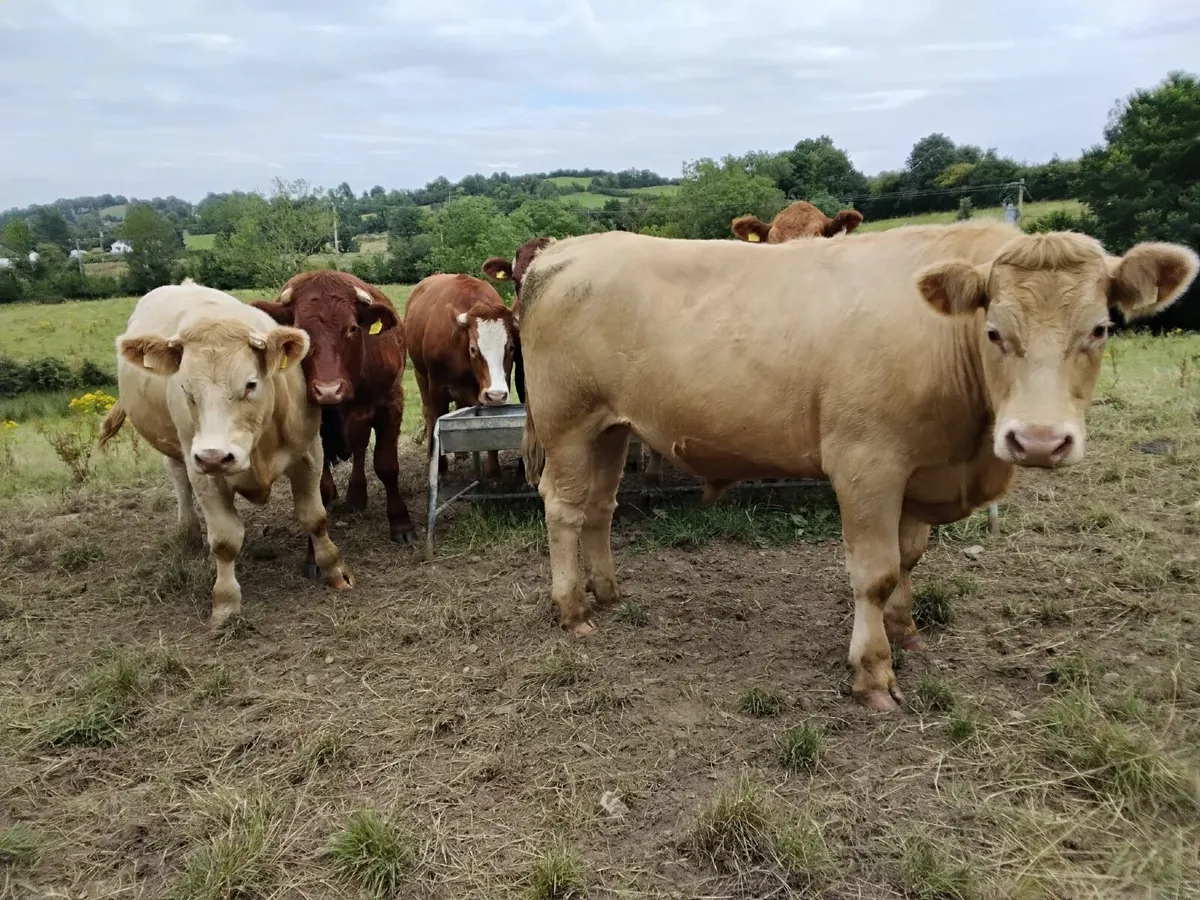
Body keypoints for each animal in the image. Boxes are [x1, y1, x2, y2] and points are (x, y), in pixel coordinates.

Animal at [98, 279, 355, 629]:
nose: (215, 456)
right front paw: (225, 603)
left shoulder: (308, 454)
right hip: (177, 447)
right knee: (179, 478)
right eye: (186, 389)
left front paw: (335, 570)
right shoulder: (205, 474)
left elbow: (314, 517)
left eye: (250, 384)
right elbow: (224, 540)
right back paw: (190, 531)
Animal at [250, 270, 416, 545]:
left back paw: (357, 495)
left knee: (360, 449)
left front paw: (401, 523)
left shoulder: (390, 406)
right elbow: (319, 490)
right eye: (301, 331)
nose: (328, 390)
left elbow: (387, 466)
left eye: (352, 328)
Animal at [404, 272, 517, 481]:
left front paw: (493, 471)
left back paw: (461, 453)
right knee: (428, 413)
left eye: (511, 347)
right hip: (419, 374)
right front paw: (440, 467)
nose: (496, 395)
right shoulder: (437, 388)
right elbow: (437, 419)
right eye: (473, 349)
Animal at [515, 222, 1198, 711]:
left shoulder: (920, 470)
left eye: (1101, 329)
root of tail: (565, 250)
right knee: (563, 508)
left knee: (599, 507)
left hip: (612, 428)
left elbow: (908, 559)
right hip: (568, 423)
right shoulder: (867, 464)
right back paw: (572, 609)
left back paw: (608, 592)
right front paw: (873, 674)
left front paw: (907, 631)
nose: (1036, 440)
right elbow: (874, 573)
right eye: (995, 331)